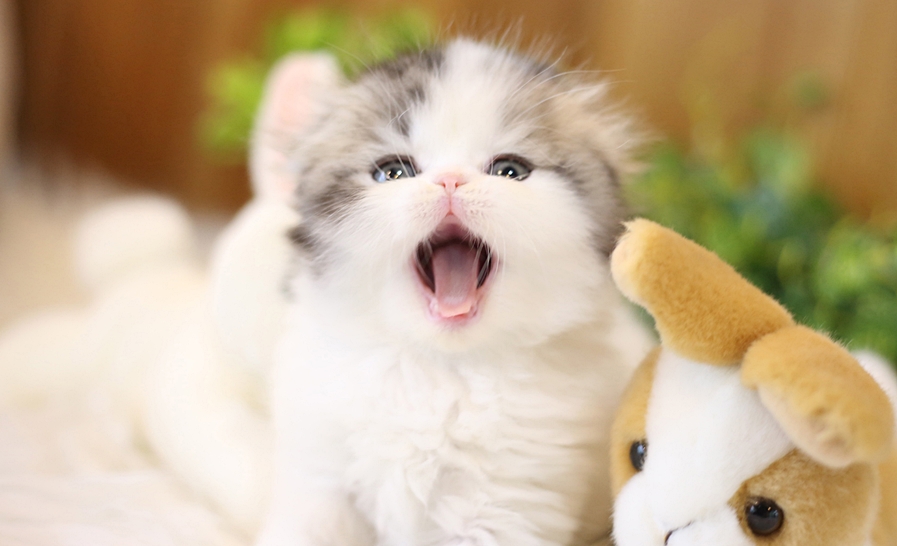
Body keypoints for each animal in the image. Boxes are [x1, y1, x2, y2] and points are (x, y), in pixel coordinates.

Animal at [256, 38, 653, 546]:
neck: (437, 369)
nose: (450, 180)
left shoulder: (505, 510)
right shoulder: (320, 484)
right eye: (393, 173)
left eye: (510, 171)